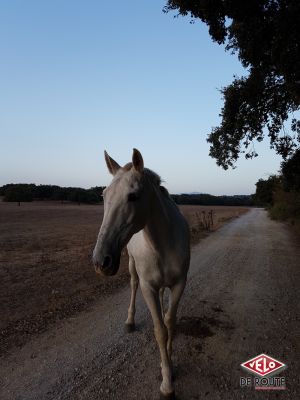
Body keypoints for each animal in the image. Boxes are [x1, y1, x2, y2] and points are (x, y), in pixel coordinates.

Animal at [92, 148, 190, 398]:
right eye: (104, 195)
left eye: (133, 196)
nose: (100, 261)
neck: (162, 242)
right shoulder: (148, 287)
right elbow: (160, 331)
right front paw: (167, 382)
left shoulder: (179, 284)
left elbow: (169, 323)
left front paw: (169, 366)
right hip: (132, 266)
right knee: (133, 285)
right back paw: (129, 321)